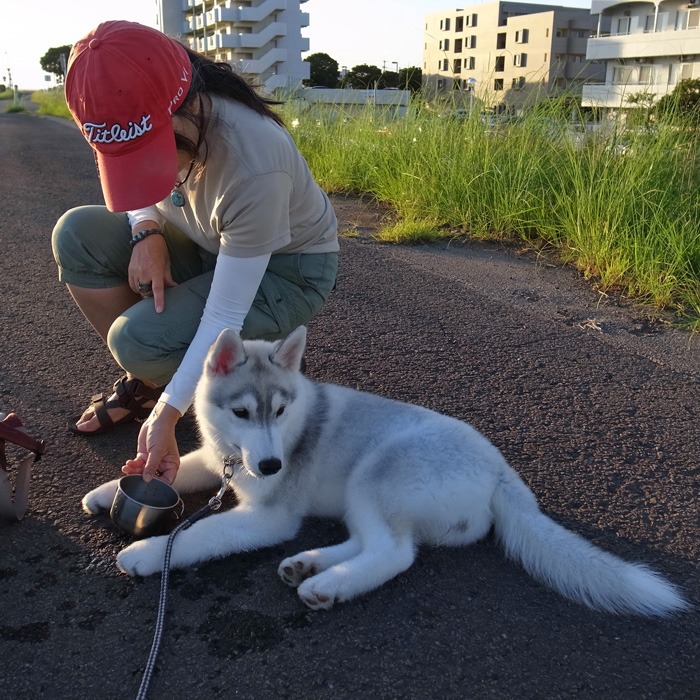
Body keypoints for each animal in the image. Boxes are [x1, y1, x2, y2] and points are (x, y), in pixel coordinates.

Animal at [83, 326, 688, 616]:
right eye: (243, 413)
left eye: (281, 410)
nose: (273, 463)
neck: (239, 455)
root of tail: (502, 470)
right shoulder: (216, 461)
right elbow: (175, 470)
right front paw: (108, 489)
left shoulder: (267, 516)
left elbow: (196, 536)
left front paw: (144, 554)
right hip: (365, 493)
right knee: (375, 542)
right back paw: (307, 565)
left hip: (376, 473)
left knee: (396, 553)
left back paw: (326, 585)